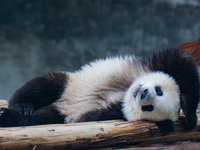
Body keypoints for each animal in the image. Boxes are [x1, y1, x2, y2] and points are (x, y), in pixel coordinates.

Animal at [0, 48, 198, 134]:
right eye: (159, 91)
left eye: (148, 108)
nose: (142, 93)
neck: (124, 94)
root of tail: (60, 105)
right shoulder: (150, 67)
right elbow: (179, 61)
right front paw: (191, 116)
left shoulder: (106, 113)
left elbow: (89, 118)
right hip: (68, 84)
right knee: (42, 85)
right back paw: (22, 106)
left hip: (57, 114)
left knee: (38, 119)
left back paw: (10, 117)